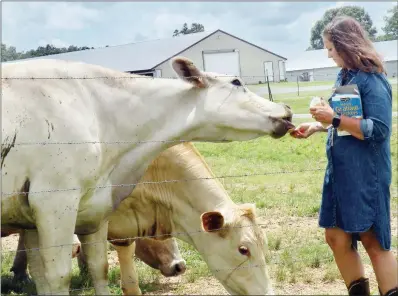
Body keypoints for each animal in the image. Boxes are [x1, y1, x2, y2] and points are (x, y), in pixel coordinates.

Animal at [0, 56, 292, 294]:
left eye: (265, 244)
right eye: (243, 249)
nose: (287, 111)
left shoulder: (89, 210)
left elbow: (94, 269)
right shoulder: (54, 204)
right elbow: (58, 276)